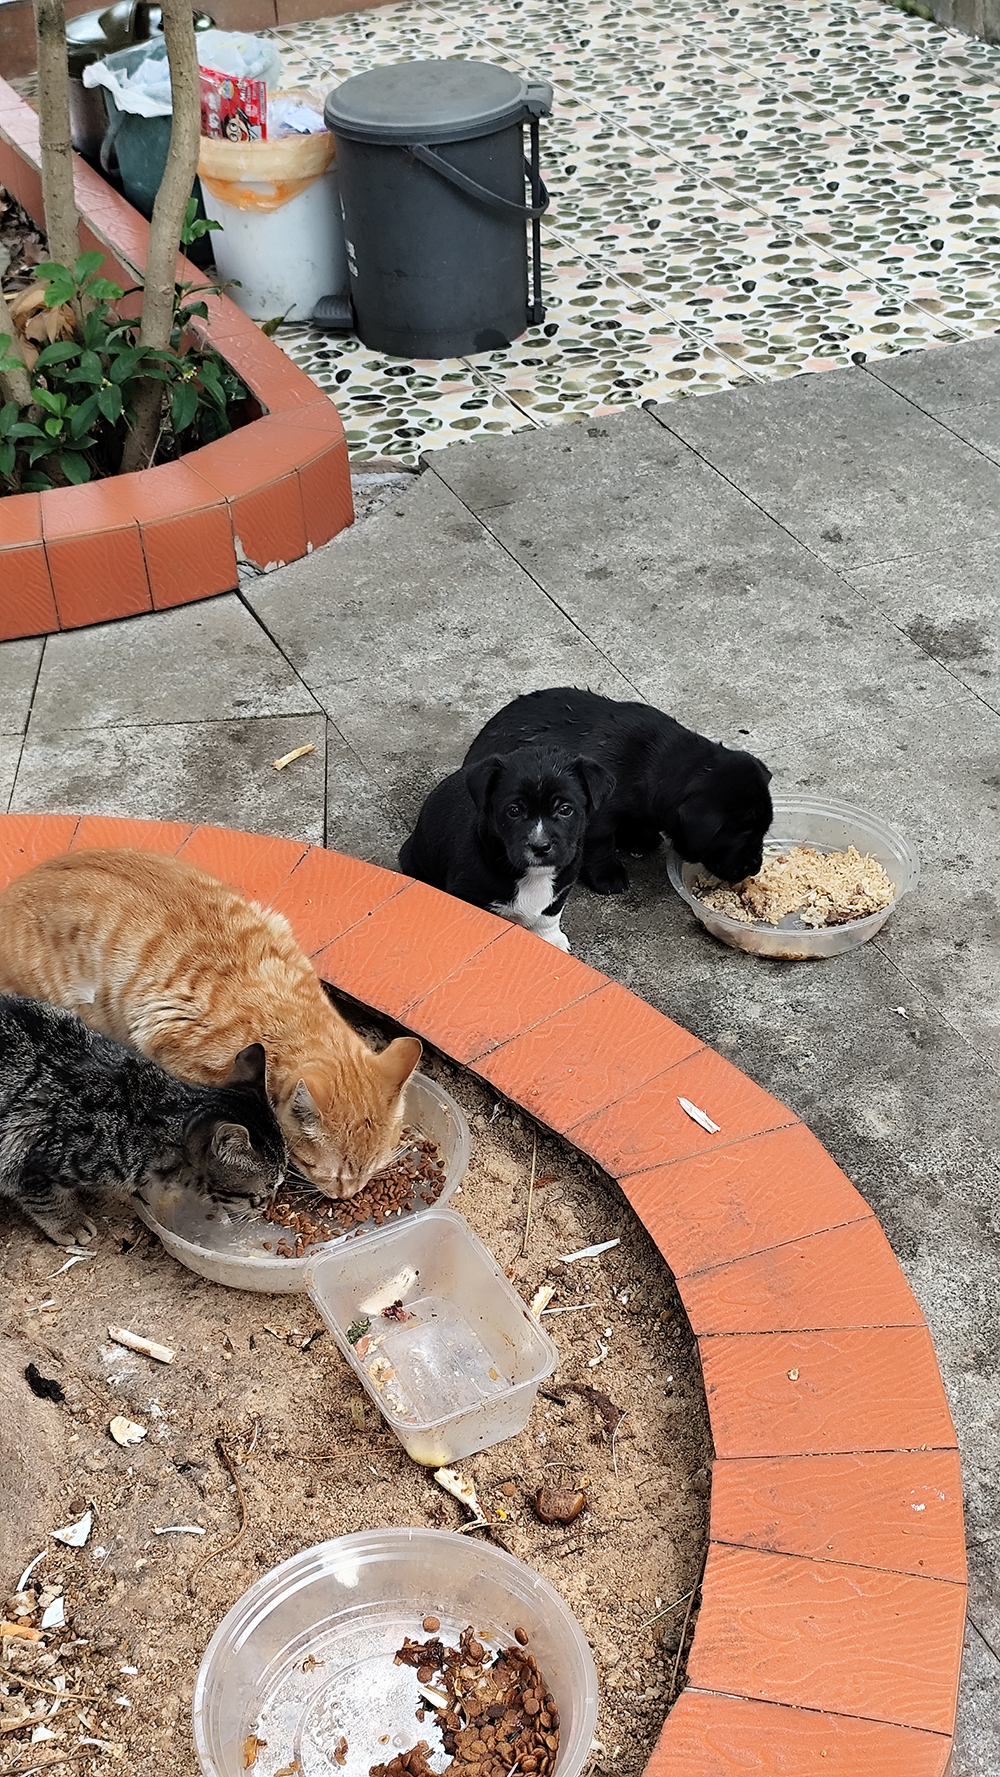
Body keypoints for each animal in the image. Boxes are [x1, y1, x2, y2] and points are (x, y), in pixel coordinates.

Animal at [399, 745, 615, 950]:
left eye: (565, 809)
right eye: (514, 810)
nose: (540, 847)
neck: (532, 876)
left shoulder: (563, 885)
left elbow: (549, 915)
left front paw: (551, 939)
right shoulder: (466, 892)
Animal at [465, 688, 773, 894]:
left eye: (763, 831)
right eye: (741, 832)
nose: (755, 866)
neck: (658, 766)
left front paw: (640, 838)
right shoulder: (598, 820)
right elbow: (601, 846)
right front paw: (608, 876)